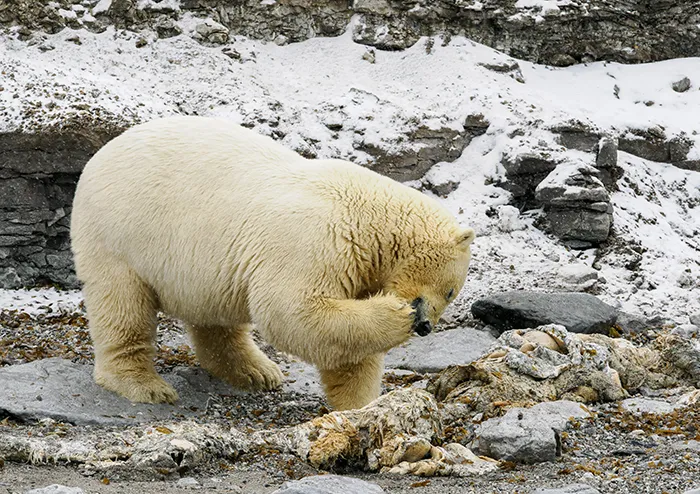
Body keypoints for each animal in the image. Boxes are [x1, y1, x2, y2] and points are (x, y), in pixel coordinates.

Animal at [70, 116, 475, 411]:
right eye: (451, 290)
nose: (425, 326)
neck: (365, 215)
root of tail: (100, 155)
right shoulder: (314, 240)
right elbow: (293, 310)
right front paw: (397, 315)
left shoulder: (358, 268)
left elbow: (348, 349)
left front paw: (360, 406)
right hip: (118, 235)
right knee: (123, 306)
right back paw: (144, 385)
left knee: (215, 319)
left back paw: (256, 371)